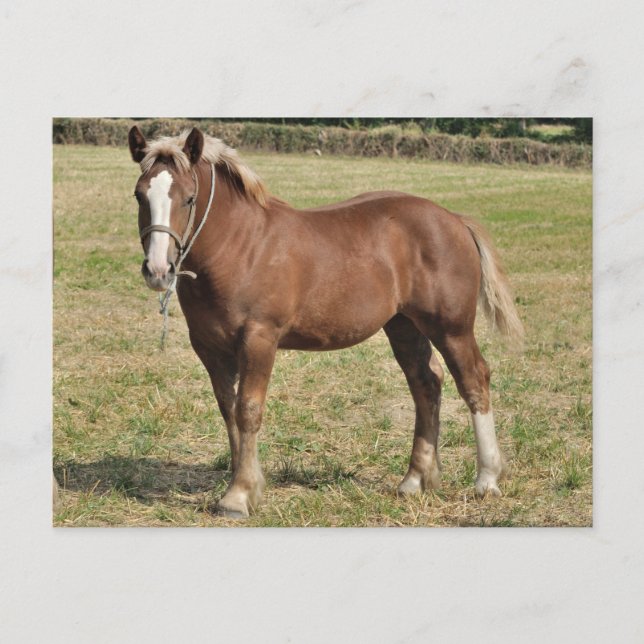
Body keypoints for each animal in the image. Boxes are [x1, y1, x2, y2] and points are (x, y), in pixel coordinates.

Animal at [128, 125, 523, 518]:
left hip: (451, 327)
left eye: (189, 198)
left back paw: (487, 479)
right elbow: (229, 411)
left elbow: (248, 410)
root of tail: (454, 219)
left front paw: (239, 496)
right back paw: (414, 480)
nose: (158, 271)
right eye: (139, 195)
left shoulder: (259, 339)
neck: (241, 247)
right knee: (426, 383)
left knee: (474, 380)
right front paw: (243, 486)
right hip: (403, 325)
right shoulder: (209, 347)